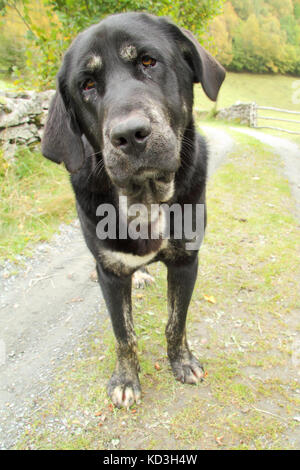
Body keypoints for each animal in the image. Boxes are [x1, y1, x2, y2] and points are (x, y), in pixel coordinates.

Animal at [42, 11, 225, 408]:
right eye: (87, 85)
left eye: (148, 62)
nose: (129, 135)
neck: (146, 197)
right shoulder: (111, 274)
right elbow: (124, 334)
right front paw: (126, 379)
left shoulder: (186, 262)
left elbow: (176, 322)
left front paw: (182, 361)